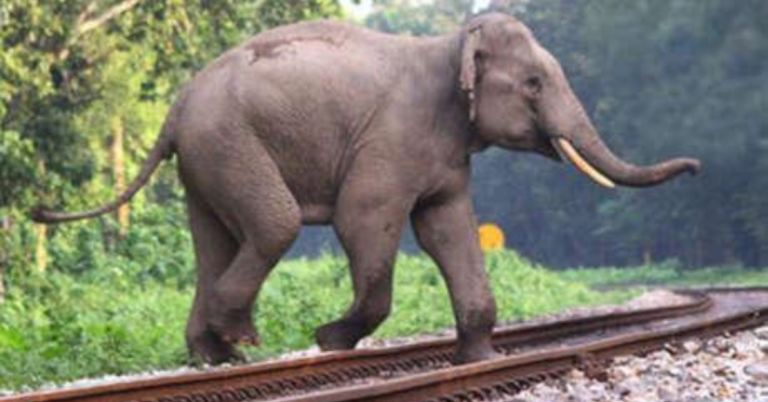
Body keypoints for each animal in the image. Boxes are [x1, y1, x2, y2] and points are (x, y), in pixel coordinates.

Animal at [32, 12, 700, 365]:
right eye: (534, 84)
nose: (696, 169)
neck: (450, 45)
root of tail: (176, 107)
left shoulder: (444, 157)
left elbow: (447, 229)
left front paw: (480, 360)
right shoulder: (392, 140)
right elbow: (365, 220)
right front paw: (329, 341)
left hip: (205, 158)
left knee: (215, 239)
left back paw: (215, 357)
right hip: (227, 143)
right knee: (273, 224)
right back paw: (241, 337)